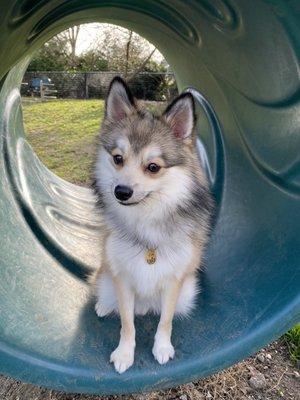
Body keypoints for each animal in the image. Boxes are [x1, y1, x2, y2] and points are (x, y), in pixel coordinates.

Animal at [92, 76, 212, 374]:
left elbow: (165, 320)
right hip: (105, 278)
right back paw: (103, 306)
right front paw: (125, 354)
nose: (121, 192)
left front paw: (162, 348)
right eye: (118, 158)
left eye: (153, 167)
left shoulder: (173, 280)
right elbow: (127, 323)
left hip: (188, 292)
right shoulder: (122, 278)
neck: (146, 217)